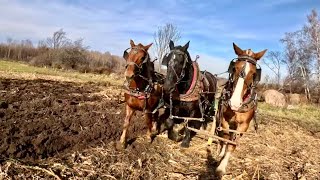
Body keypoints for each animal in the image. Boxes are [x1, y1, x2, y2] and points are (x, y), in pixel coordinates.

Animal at [215, 42, 268, 176]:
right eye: (234, 68)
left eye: (254, 74)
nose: (234, 103)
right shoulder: (224, 120)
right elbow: (225, 138)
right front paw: (221, 156)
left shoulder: (243, 125)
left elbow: (232, 144)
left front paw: (222, 166)